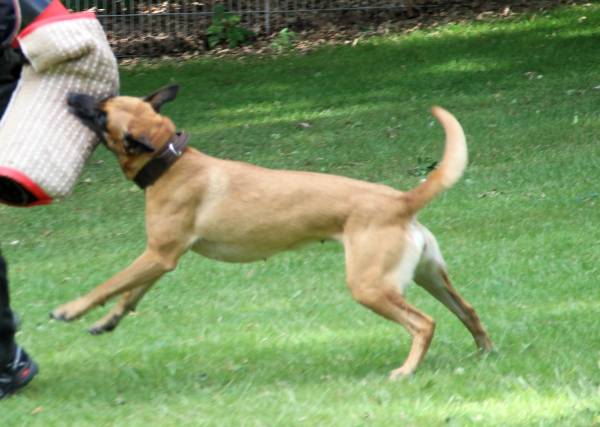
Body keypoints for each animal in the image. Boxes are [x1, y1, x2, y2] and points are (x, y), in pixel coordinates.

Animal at [54, 85, 493, 379]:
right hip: (429, 277)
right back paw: (485, 351)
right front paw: (108, 321)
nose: (71, 94)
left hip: (370, 287)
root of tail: (402, 201)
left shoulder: (158, 255)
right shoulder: (161, 258)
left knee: (424, 324)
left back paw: (406, 370)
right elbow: (128, 294)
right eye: (105, 98)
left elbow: (108, 285)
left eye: (101, 112)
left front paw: (70, 309)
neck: (171, 162)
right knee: (468, 310)